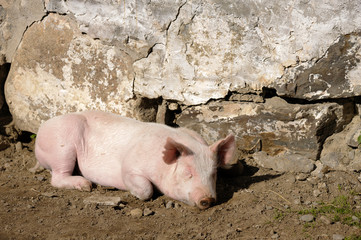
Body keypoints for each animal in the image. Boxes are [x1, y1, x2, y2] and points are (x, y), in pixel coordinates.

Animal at [34, 109, 236, 209]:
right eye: (188, 173)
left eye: (213, 174)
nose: (207, 199)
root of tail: (41, 129)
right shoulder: (129, 167)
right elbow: (146, 189)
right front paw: (134, 193)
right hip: (62, 145)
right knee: (57, 177)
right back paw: (85, 185)